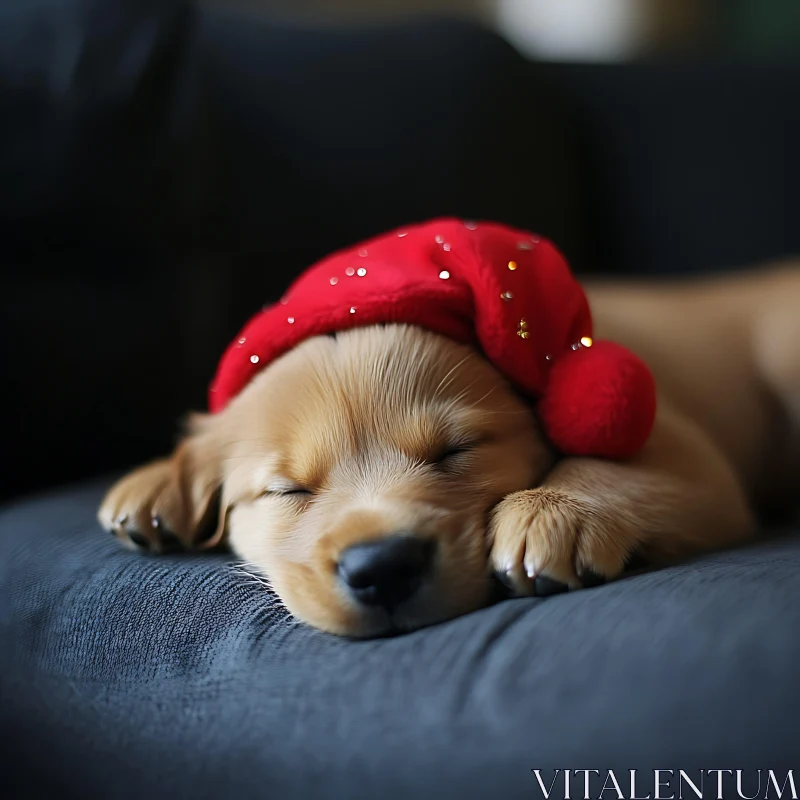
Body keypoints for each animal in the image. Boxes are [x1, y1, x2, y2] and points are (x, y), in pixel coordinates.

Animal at [100, 250, 800, 636]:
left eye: (456, 451)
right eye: (287, 491)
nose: (382, 568)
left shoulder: (684, 449)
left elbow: (614, 463)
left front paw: (552, 514)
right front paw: (159, 480)